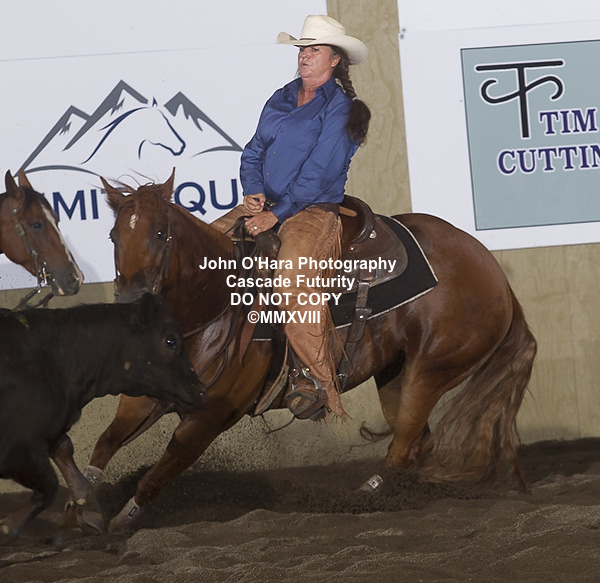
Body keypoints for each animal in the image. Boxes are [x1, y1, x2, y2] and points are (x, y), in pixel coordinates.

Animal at [0, 293, 204, 541]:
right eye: (171, 341)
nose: (201, 390)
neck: (53, 360)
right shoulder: (17, 450)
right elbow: (50, 486)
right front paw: (9, 526)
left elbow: (65, 451)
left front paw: (90, 512)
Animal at [82, 171, 537, 531]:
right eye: (113, 235)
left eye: (160, 234)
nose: (130, 301)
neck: (215, 307)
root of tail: (495, 274)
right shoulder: (144, 399)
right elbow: (104, 445)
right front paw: (83, 508)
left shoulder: (209, 419)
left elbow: (156, 477)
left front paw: (120, 521)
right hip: (395, 375)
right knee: (414, 443)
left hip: (431, 371)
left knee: (402, 447)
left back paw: (363, 497)